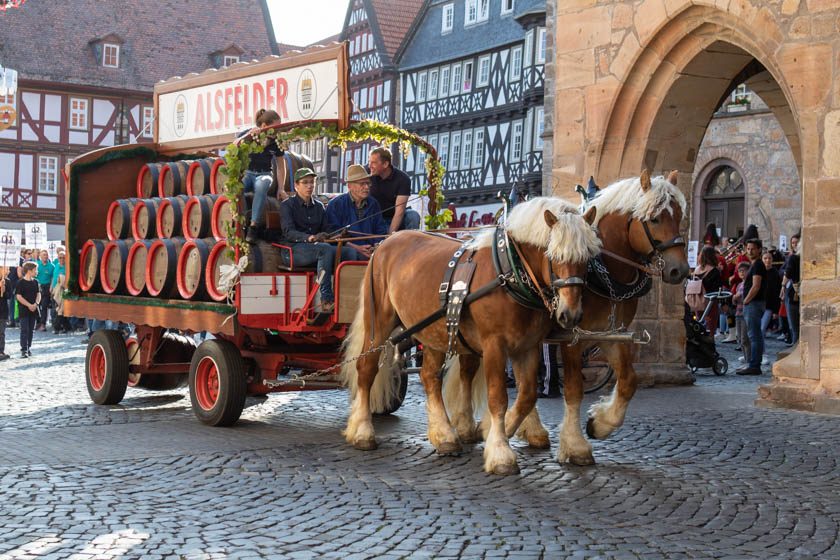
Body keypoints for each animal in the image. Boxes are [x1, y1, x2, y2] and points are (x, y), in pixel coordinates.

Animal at [338, 197, 600, 472]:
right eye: (553, 256)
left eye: (588, 258)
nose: (570, 314)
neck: (509, 272)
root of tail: (384, 244)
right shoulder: (495, 345)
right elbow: (498, 397)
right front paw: (500, 451)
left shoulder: (528, 347)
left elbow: (527, 394)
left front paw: (494, 431)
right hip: (378, 323)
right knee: (366, 369)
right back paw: (363, 431)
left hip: (432, 331)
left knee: (429, 376)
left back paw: (445, 436)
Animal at [446, 172, 688, 468]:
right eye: (654, 219)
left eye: (679, 215)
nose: (680, 270)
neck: (602, 270)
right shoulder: (573, 337)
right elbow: (573, 389)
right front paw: (575, 445)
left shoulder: (611, 334)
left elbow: (629, 380)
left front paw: (600, 423)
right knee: (471, 371)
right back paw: (468, 424)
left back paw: (528, 430)